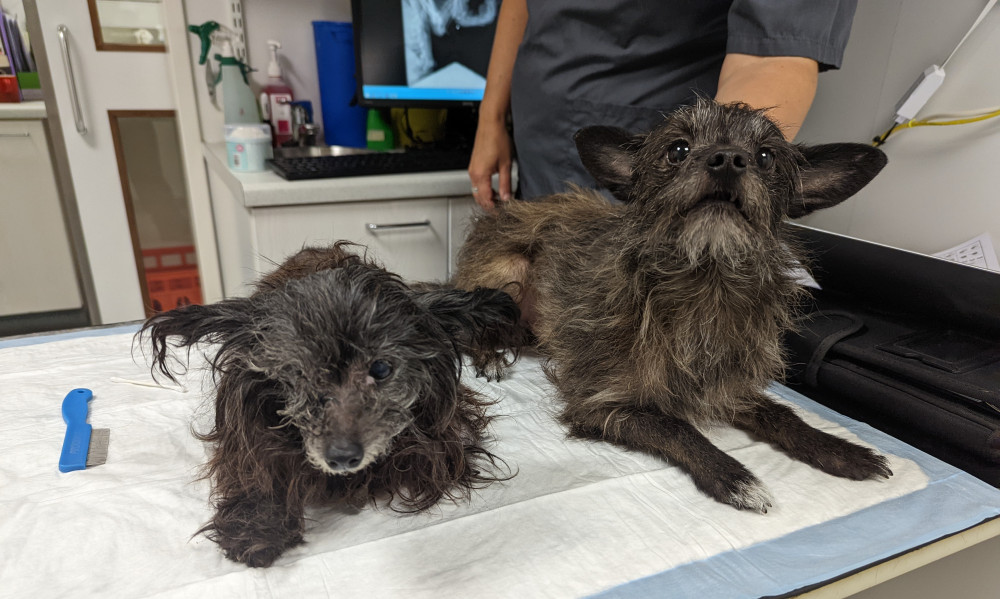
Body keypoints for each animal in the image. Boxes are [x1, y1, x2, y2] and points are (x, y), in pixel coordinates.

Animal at [143, 243, 524, 568]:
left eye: (381, 369)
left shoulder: (443, 439)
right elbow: (256, 468)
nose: (342, 458)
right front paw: (256, 525)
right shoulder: (244, 428)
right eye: (297, 372)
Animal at [454, 101, 892, 512]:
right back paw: (490, 356)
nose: (728, 158)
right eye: (677, 150)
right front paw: (734, 477)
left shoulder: (724, 386)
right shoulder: (599, 403)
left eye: (766, 156)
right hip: (507, 276)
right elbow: (676, 427)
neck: (705, 286)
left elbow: (782, 414)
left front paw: (841, 451)